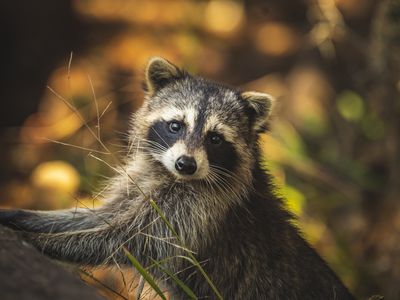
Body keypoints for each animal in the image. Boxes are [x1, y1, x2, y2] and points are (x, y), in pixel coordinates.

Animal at [0, 57, 356, 298]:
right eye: (175, 125)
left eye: (215, 139)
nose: (186, 164)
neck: (171, 176)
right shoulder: (140, 184)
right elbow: (98, 216)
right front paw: (25, 217)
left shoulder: (199, 210)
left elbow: (125, 241)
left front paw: (42, 241)